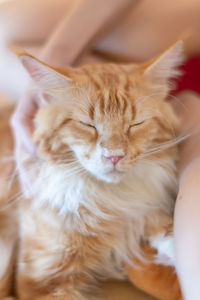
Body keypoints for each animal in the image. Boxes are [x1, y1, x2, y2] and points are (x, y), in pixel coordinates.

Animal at [0, 41, 184, 298]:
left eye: (135, 124)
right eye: (88, 125)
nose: (114, 156)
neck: (108, 198)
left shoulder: (144, 207)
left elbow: (163, 227)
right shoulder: (45, 278)